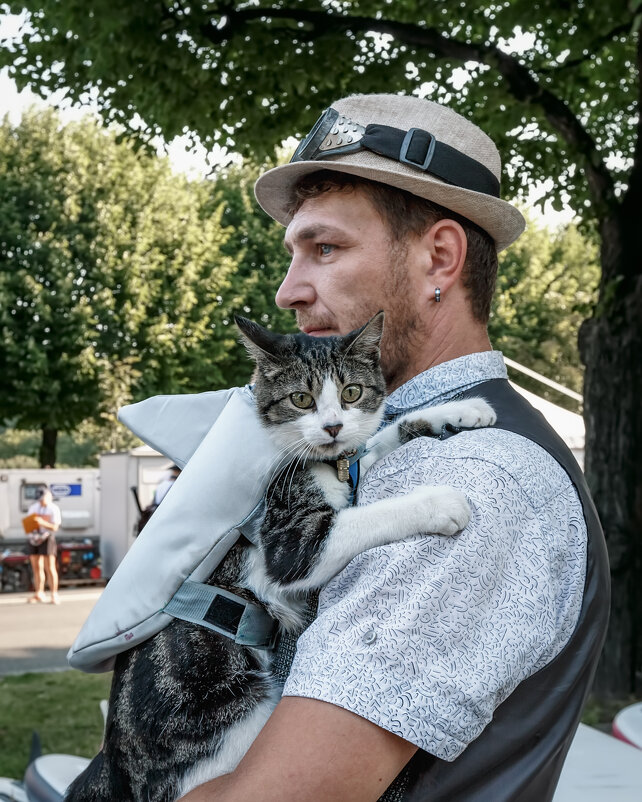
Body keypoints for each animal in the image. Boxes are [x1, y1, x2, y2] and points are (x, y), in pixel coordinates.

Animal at [65, 310, 492, 800]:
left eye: (351, 392)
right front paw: (440, 502)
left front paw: (461, 410)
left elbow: (375, 443)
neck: (322, 463)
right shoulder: (291, 543)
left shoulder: (347, 465)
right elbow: (364, 516)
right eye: (301, 399)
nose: (332, 427)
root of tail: (115, 766)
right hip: (235, 718)